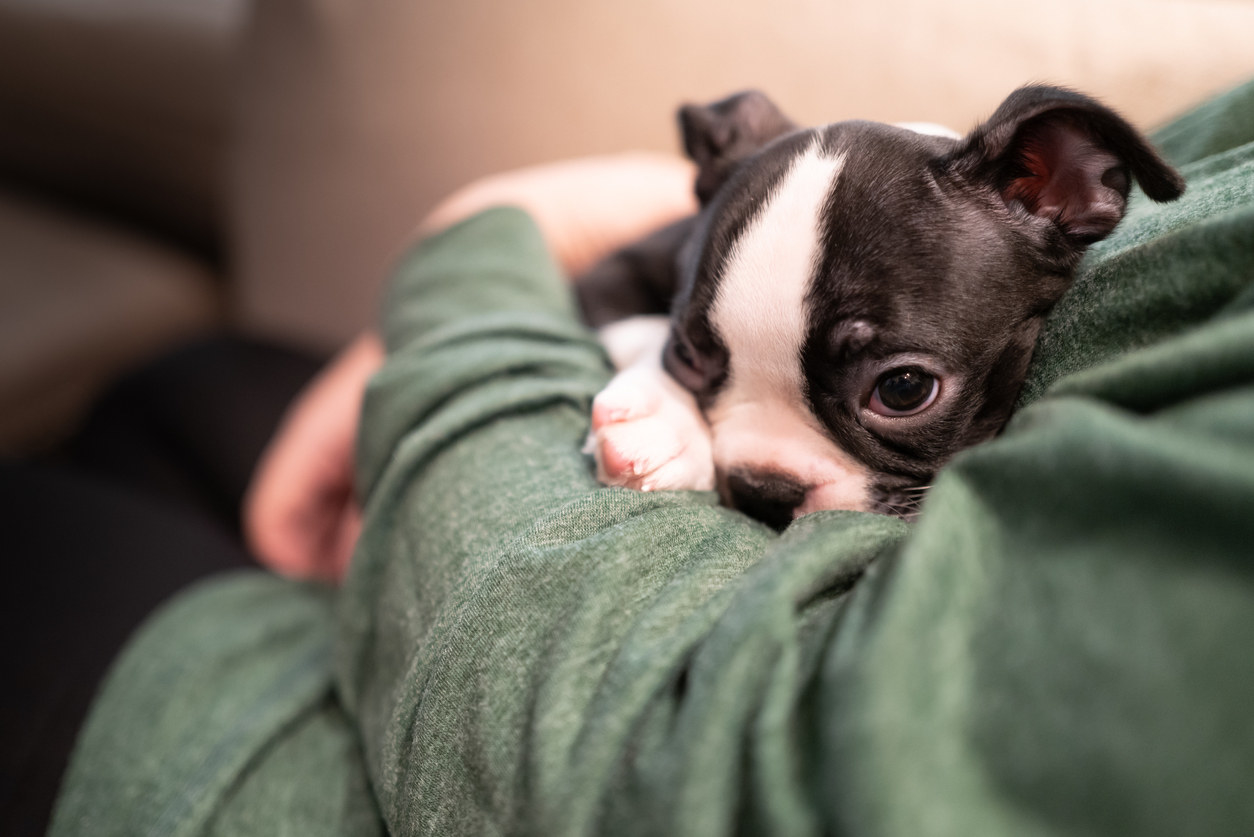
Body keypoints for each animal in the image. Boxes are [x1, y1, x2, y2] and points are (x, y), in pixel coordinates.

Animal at [576, 86, 1183, 529]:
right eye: (686, 354)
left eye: (903, 389)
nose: (764, 490)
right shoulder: (612, 273)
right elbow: (641, 331)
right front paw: (660, 418)